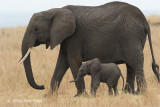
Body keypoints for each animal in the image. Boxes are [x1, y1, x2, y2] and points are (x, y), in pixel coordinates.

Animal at [18, 1, 159, 95]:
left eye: (36, 29)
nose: (41, 86)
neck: (53, 10)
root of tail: (144, 20)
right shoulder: (66, 38)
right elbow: (61, 63)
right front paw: (48, 97)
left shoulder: (74, 36)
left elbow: (73, 61)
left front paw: (80, 96)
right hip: (132, 37)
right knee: (131, 65)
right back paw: (128, 93)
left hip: (130, 36)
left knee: (135, 62)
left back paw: (140, 93)